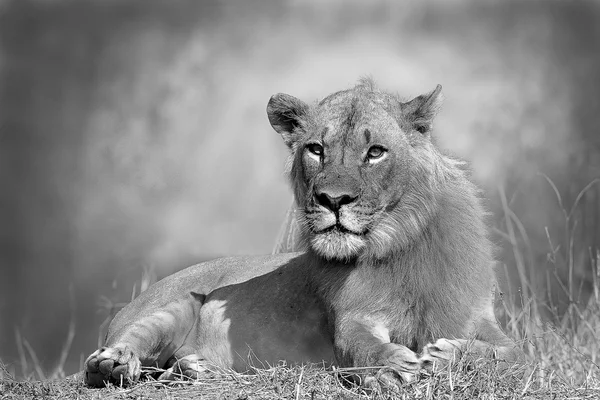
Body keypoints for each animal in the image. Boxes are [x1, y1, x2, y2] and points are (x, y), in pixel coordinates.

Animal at [84, 79, 524, 390]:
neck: (398, 243)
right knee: (122, 350)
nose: (333, 200)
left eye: (375, 152)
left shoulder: (477, 316)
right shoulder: (350, 319)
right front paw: (391, 368)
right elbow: (360, 345)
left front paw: (446, 355)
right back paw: (114, 363)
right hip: (176, 303)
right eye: (316, 149)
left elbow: (514, 355)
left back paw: (196, 368)